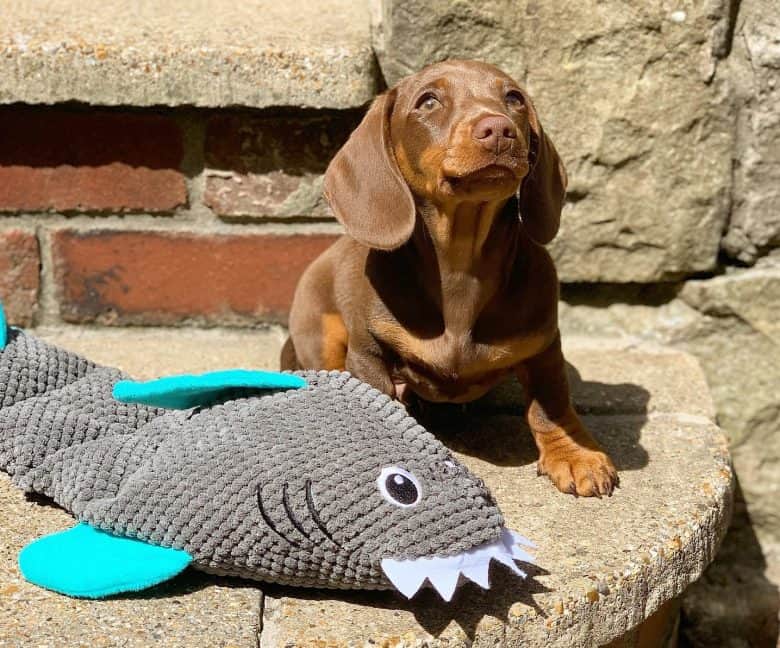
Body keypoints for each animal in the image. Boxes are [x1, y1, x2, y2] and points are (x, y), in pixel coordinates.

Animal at [284, 59, 620, 496]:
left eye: (514, 98)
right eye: (428, 101)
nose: (498, 129)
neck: (460, 259)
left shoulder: (544, 344)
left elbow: (551, 404)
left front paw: (575, 454)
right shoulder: (368, 351)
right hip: (320, 330)